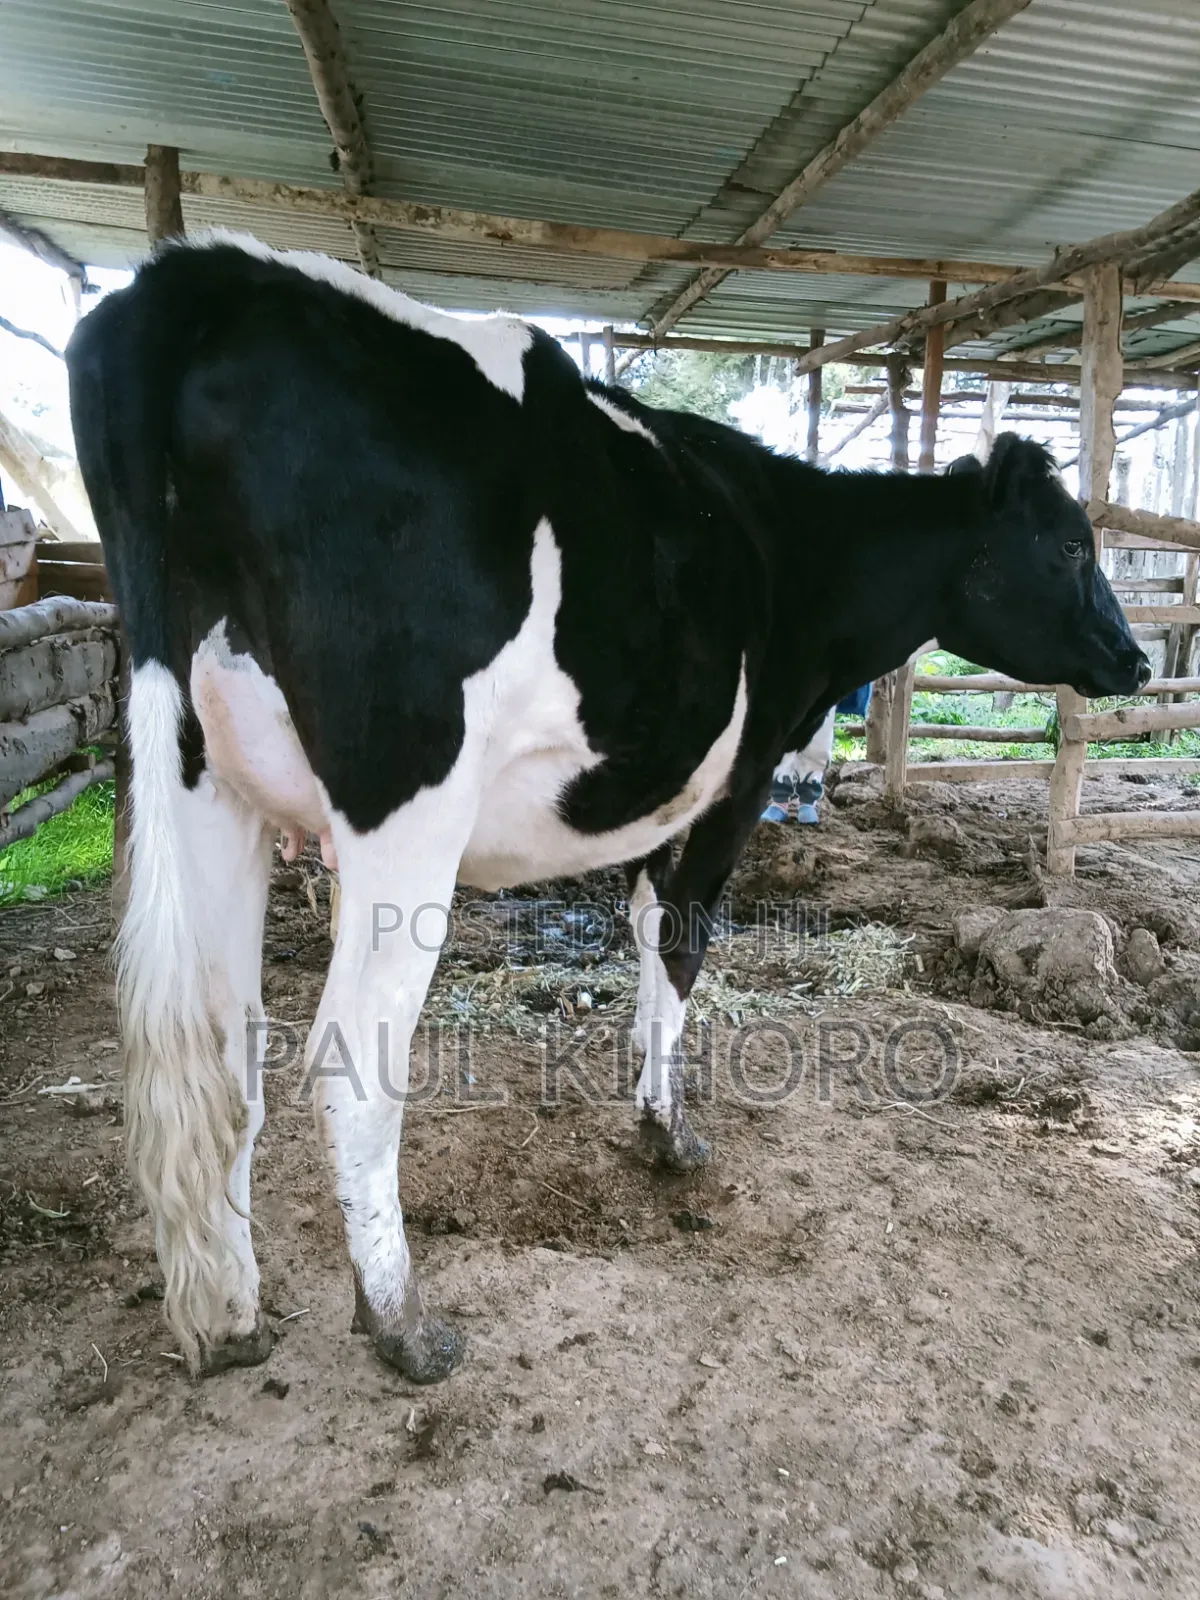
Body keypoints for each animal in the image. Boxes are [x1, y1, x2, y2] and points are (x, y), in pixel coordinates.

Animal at [66, 232, 1149, 1383]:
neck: (794, 551)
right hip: (407, 805)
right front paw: (668, 1131)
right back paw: (401, 1319)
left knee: (223, 1052)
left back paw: (229, 1316)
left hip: (207, 781)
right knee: (352, 1055)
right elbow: (684, 942)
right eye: (1072, 545)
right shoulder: (738, 780)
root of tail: (200, 275)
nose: (1132, 659)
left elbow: (642, 928)